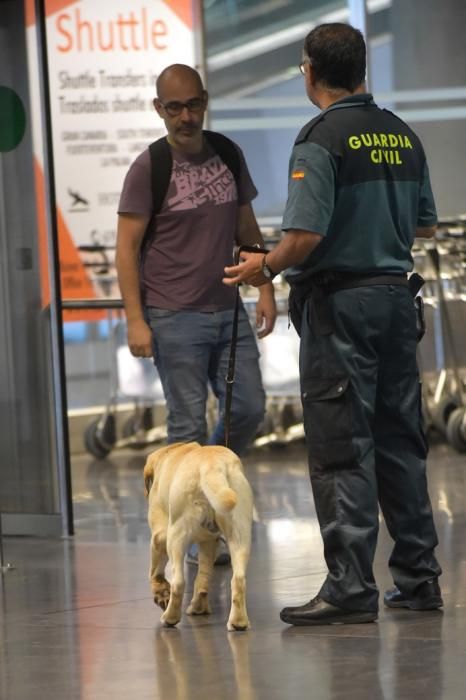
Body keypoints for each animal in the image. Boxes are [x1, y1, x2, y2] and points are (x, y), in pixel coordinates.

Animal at [144, 442, 253, 628]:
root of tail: (212, 465)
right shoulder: (208, 541)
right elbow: (203, 577)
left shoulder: (160, 536)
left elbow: (155, 572)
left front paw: (161, 593)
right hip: (239, 535)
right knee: (237, 579)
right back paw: (235, 621)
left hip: (175, 537)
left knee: (179, 583)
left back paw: (170, 617)